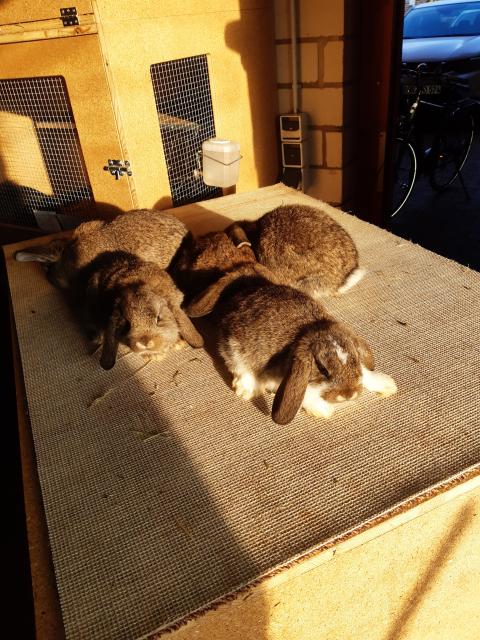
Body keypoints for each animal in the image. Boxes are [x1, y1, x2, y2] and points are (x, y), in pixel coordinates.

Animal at [187, 266, 397, 425]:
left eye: (355, 360)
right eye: (322, 369)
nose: (349, 395)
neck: (312, 330)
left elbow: (366, 375)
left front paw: (388, 385)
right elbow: (306, 395)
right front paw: (324, 410)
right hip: (234, 349)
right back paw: (247, 390)